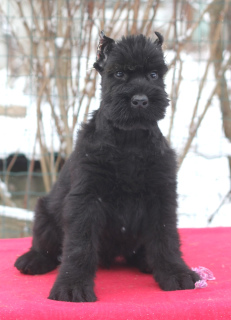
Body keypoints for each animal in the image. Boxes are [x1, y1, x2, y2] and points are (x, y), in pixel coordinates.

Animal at [14, 31, 199, 302]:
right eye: (119, 73)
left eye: (154, 75)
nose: (140, 100)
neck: (130, 139)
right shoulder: (87, 198)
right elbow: (79, 246)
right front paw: (72, 286)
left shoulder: (161, 195)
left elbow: (166, 237)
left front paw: (176, 272)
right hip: (44, 213)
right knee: (45, 245)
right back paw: (32, 260)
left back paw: (147, 262)